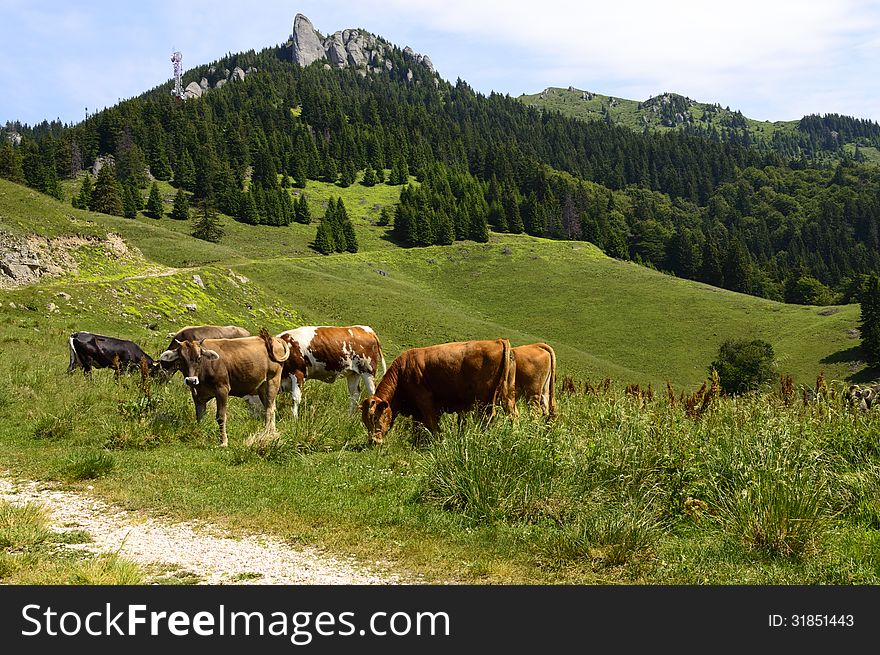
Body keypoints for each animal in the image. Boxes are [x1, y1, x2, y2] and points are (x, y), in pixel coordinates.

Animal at [160, 326, 290, 446]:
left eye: (199, 358)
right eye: (181, 359)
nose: (191, 380)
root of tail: (273, 339)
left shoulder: (222, 390)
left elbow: (221, 417)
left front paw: (223, 442)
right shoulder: (197, 394)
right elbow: (200, 416)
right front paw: (199, 434)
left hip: (272, 381)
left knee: (269, 410)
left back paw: (266, 434)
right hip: (262, 388)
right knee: (271, 407)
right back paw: (272, 433)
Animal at [360, 338, 520, 446]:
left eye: (374, 417)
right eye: (364, 421)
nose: (373, 441)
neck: (402, 371)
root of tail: (498, 341)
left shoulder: (424, 400)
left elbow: (432, 424)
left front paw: (438, 443)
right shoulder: (417, 410)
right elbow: (417, 427)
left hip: (484, 400)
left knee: (487, 418)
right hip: (508, 395)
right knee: (513, 415)